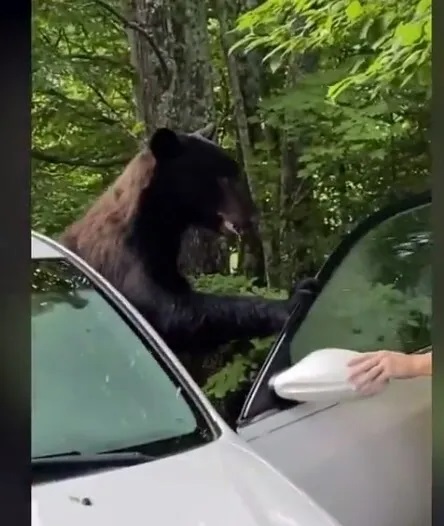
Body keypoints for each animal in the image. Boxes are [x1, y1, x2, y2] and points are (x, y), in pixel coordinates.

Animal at [59, 125, 316, 354]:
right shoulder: (123, 257)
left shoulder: (164, 258)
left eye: (234, 171)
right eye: (222, 177)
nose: (253, 217)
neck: (158, 221)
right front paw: (290, 302)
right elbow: (168, 310)